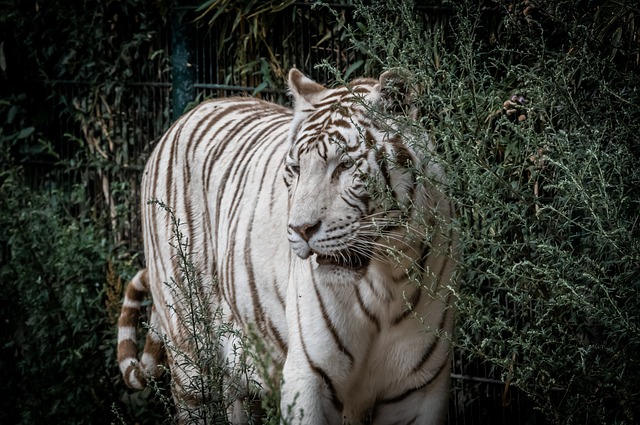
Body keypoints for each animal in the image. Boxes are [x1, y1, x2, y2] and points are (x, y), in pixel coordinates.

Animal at [119, 68, 460, 422]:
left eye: (345, 165)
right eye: (295, 169)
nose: (300, 229)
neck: (386, 280)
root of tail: (190, 113)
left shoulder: (419, 391)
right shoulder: (309, 378)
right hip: (190, 353)